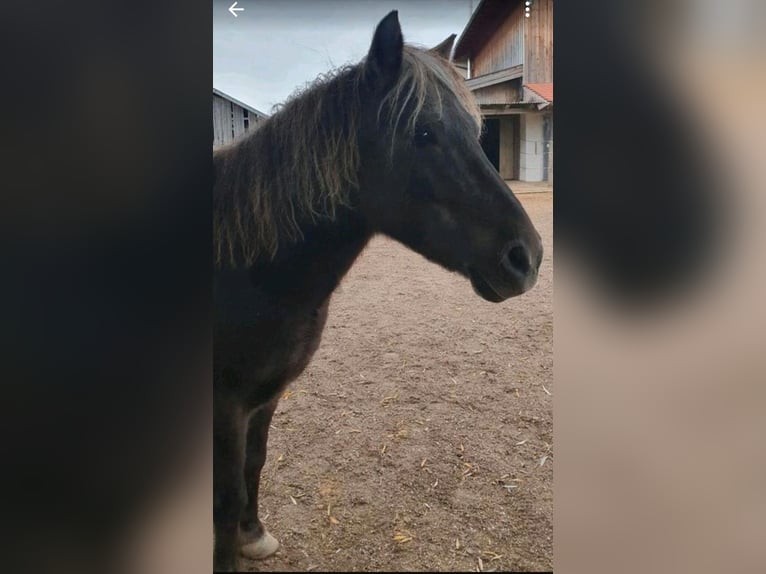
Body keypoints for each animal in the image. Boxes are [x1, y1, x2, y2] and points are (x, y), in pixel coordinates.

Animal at [212, 10, 543, 571]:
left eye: (477, 132)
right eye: (423, 131)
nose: (527, 258)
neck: (246, 269)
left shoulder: (265, 397)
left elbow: (255, 465)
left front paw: (253, 535)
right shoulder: (226, 407)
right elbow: (227, 498)